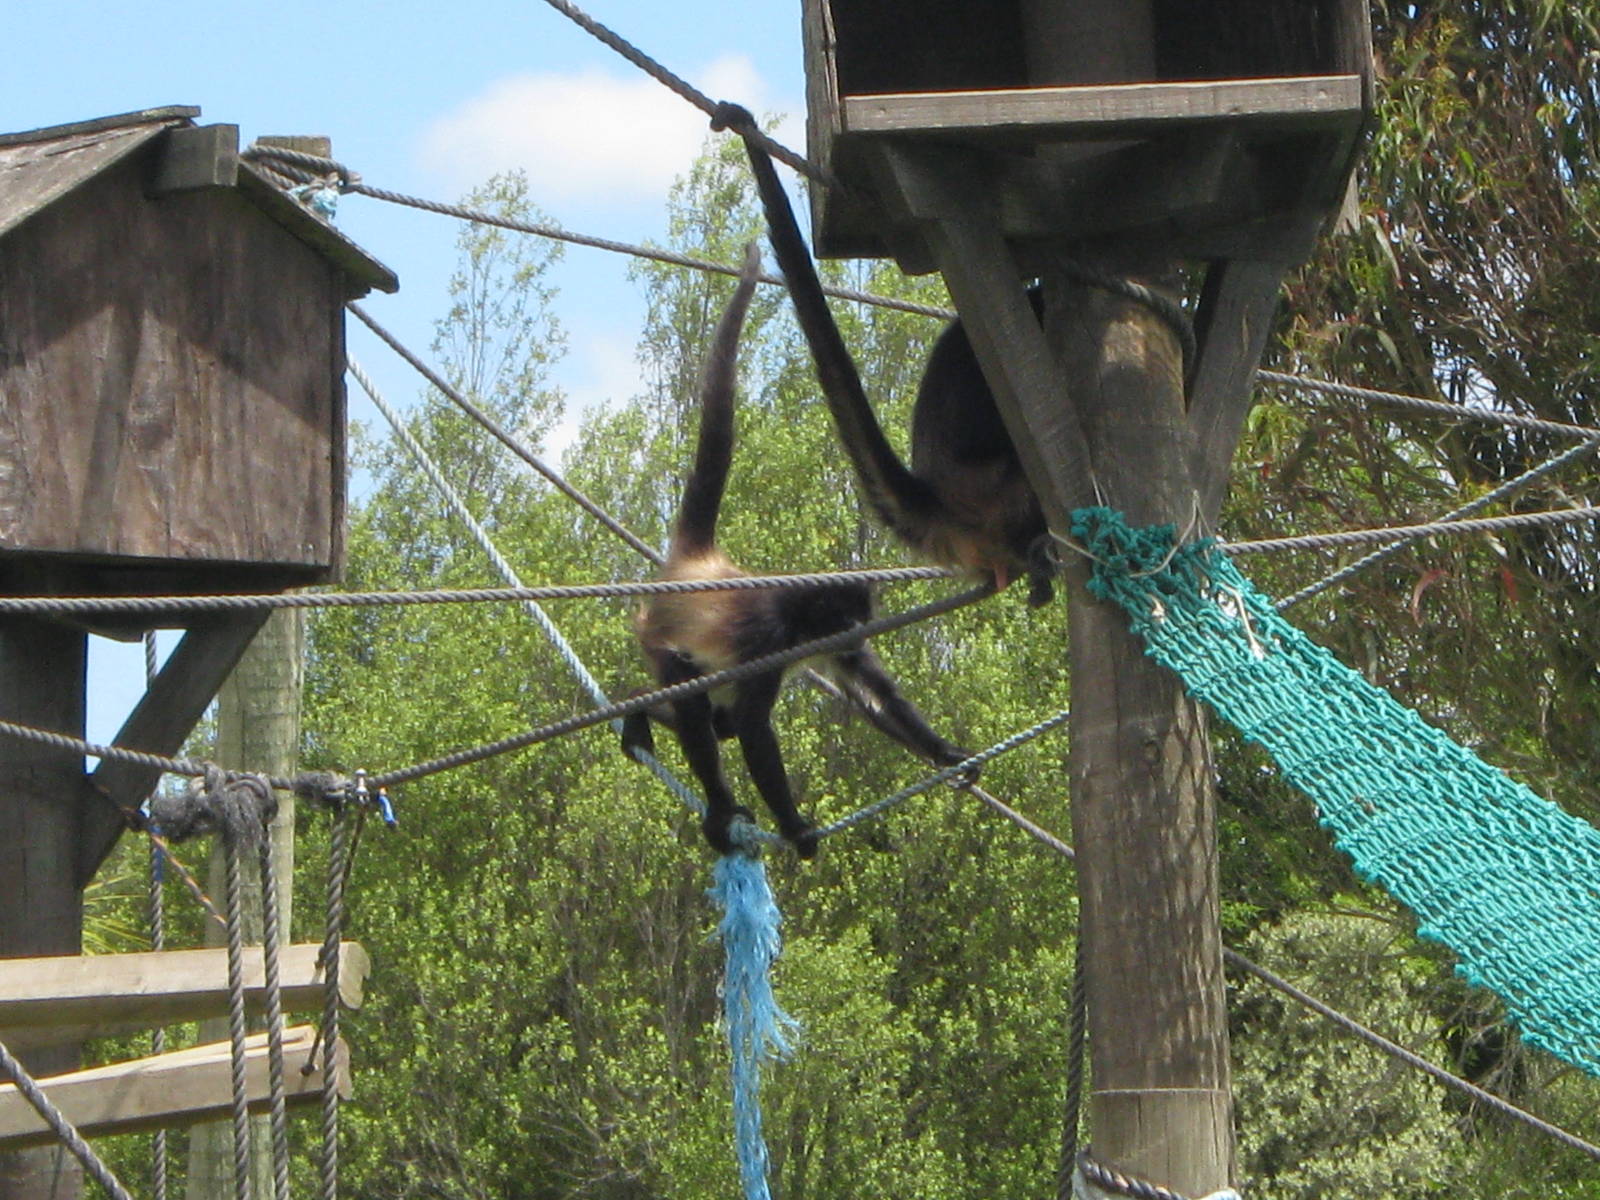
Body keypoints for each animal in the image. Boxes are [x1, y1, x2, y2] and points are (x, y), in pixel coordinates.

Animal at [624, 241, 972, 859]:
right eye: (843, 618)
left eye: (861, 620)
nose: (855, 634)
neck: (798, 612)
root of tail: (700, 561)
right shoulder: (772, 634)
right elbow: (755, 725)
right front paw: (793, 825)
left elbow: (871, 692)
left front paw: (945, 753)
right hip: (660, 638)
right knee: (700, 708)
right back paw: (716, 803)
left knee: (715, 720)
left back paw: (639, 709)